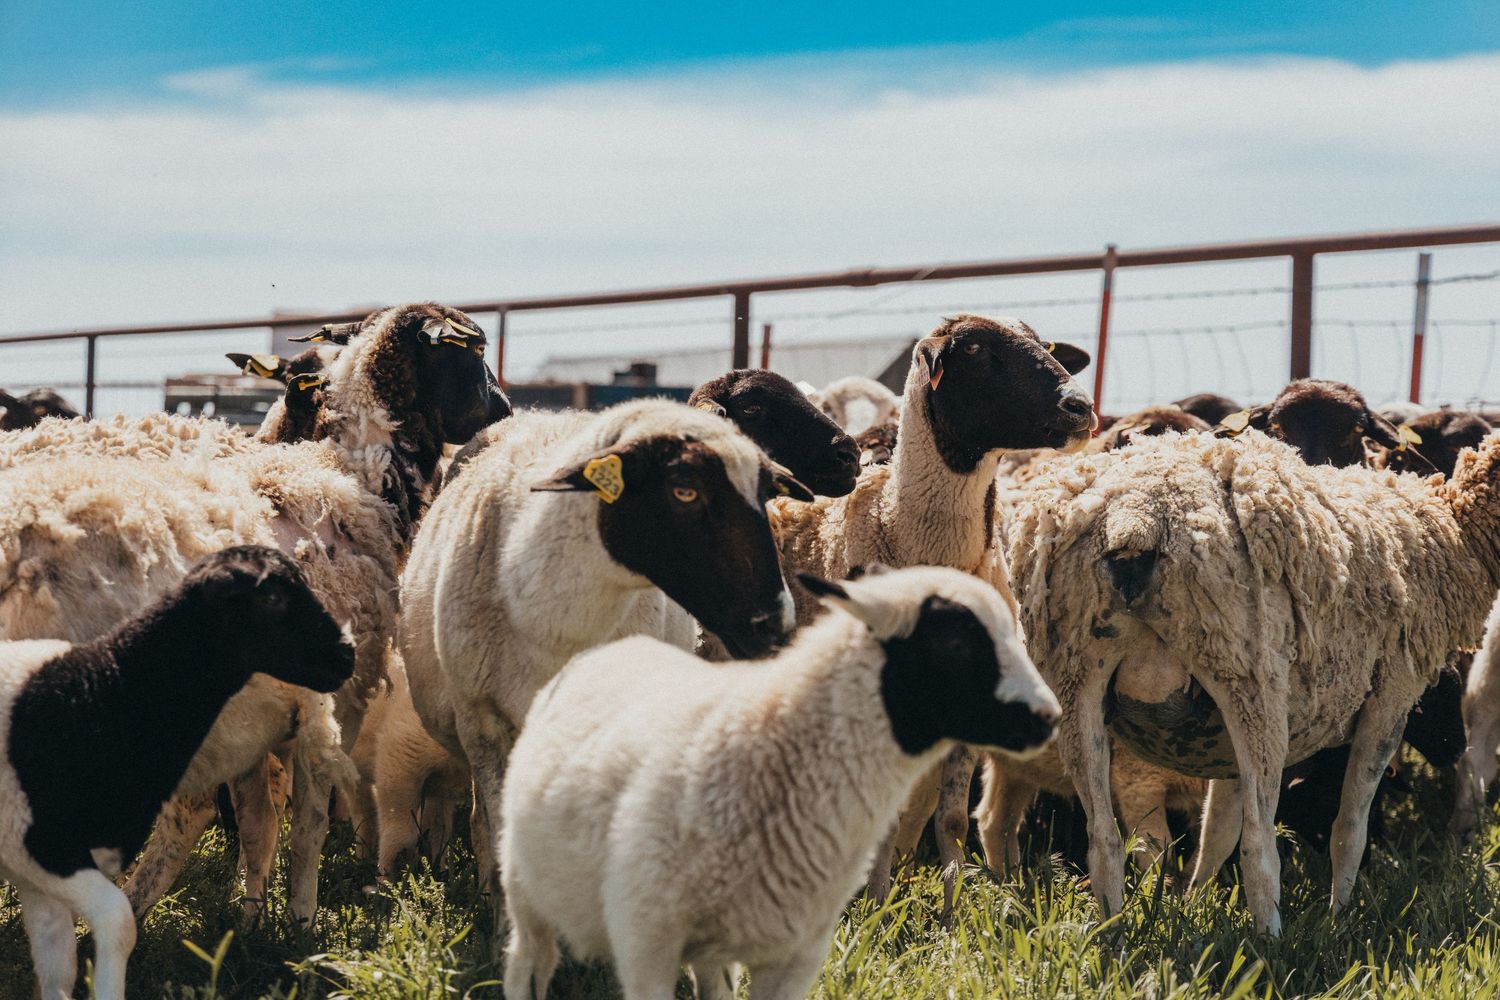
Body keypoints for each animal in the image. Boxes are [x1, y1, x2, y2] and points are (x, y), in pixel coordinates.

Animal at [400, 399, 808, 933]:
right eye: (684, 490)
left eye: (764, 495)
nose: (775, 622)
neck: (557, 623)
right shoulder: (483, 723)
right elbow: (500, 843)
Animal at [499, 564, 1060, 1000]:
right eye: (952, 640)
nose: (1049, 717)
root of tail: (618, 647)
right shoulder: (646, 941)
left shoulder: (795, 953)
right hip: (524, 887)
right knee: (529, 963)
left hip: (713, 944)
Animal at [763, 315, 1092, 920]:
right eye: (978, 351)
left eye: (1046, 346)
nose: (1080, 407)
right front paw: (872, 910)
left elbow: (953, 819)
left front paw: (949, 914)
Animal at [1007, 430, 1500, 934]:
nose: (1454, 750)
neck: (1454, 529)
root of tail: (1135, 518)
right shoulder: (1392, 695)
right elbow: (1348, 831)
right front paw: (1338, 920)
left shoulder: (1217, 737)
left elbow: (1216, 832)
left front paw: (1193, 902)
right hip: (1250, 679)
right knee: (1259, 847)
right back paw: (1271, 939)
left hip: (1077, 678)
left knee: (1103, 840)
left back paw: (1115, 932)